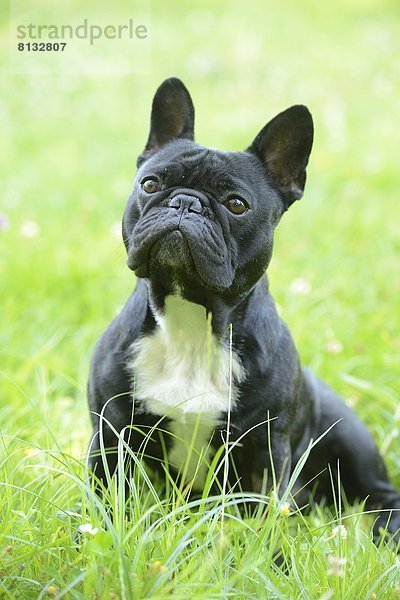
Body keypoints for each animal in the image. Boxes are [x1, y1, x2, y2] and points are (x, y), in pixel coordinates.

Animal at [87, 76, 400, 544]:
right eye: (150, 184)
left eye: (237, 205)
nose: (186, 203)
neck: (191, 321)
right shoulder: (111, 434)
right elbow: (103, 499)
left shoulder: (264, 450)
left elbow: (265, 521)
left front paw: (268, 558)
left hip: (347, 434)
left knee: (379, 493)